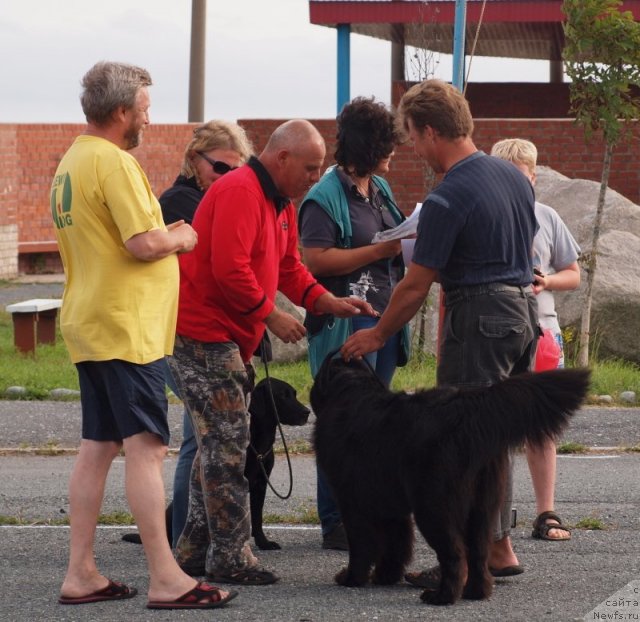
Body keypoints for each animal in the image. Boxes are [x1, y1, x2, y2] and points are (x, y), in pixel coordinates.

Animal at [312, 358, 592, 608]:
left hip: (434, 507)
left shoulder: (352, 502)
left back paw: (441, 597)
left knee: (455, 555)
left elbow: (362, 546)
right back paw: (476, 593)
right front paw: (384, 577)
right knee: (478, 554)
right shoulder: (393, 509)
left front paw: (351, 578)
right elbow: (396, 546)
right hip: (483, 506)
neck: (350, 392)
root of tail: (466, 412)